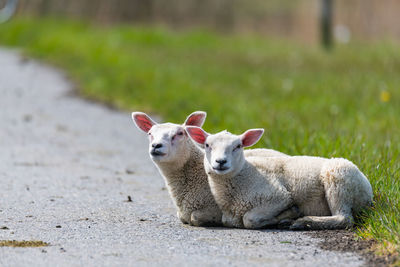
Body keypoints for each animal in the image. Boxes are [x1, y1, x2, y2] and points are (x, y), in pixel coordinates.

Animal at [186, 126, 374, 230]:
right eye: (207, 145)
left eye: (238, 146)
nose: (220, 162)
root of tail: (368, 189)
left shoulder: (278, 196)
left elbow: (249, 219)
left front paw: (287, 215)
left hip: (338, 178)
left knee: (344, 219)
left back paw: (303, 222)